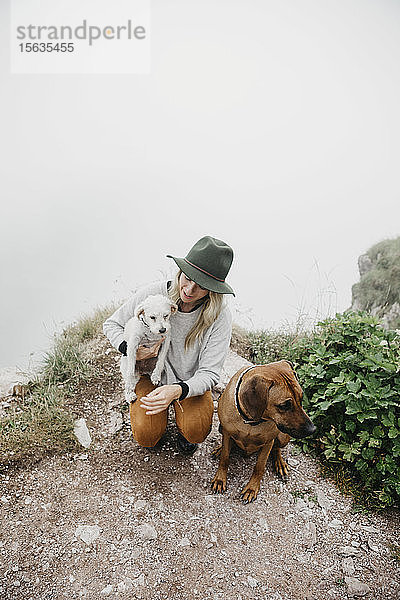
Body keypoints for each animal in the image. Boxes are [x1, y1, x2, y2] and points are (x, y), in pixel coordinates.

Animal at [212, 360, 316, 502]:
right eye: (284, 405)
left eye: (301, 398)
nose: (313, 429)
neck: (251, 421)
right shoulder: (227, 433)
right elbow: (225, 458)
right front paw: (220, 480)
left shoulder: (268, 442)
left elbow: (259, 466)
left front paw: (251, 488)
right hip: (221, 428)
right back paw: (219, 448)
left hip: (283, 437)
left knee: (277, 448)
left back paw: (280, 463)